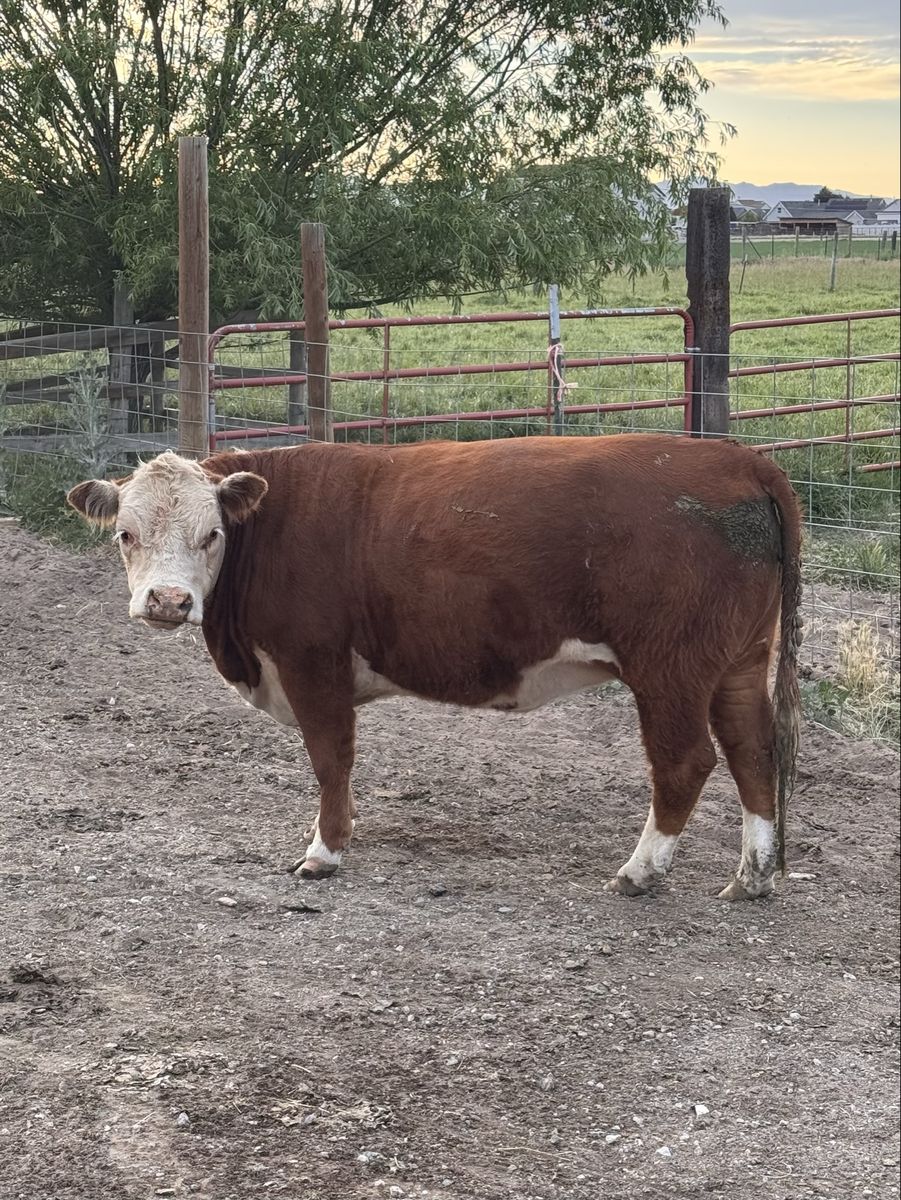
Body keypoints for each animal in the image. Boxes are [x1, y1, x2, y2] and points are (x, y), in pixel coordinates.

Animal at [67, 434, 802, 900]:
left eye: (210, 534)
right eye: (126, 533)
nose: (168, 601)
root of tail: (739, 458)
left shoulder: (312, 662)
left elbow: (331, 758)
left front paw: (324, 852)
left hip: (669, 668)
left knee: (685, 762)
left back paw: (641, 872)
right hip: (739, 661)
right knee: (753, 751)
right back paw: (754, 875)